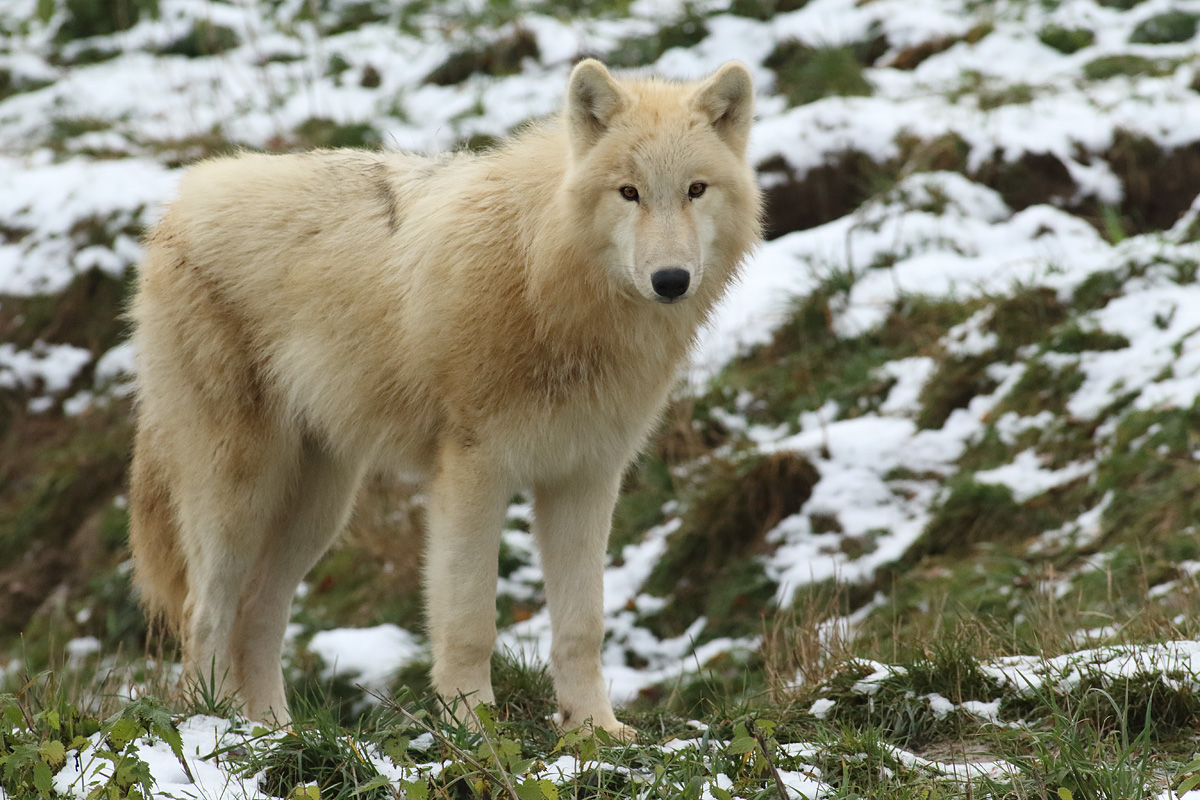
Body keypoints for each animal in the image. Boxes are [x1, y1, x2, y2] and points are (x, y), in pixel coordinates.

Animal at [128, 59, 761, 737]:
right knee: (203, 614)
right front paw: (474, 726)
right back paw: (217, 729)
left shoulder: (585, 478)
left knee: (257, 617)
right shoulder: (471, 475)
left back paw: (277, 732)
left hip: (317, 510)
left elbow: (582, 627)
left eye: (695, 190)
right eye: (629, 192)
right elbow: (468, 622)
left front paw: (594, 729)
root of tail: (174, 209)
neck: (543, 281)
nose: (671, 280)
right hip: (241, 495)